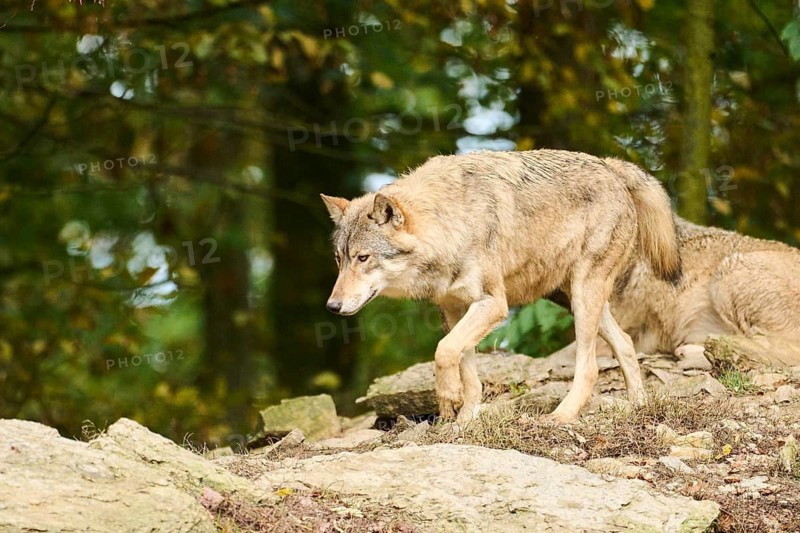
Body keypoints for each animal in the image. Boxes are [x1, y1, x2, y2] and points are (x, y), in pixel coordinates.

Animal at [321, 150, 681, 423]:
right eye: (339, 259)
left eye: (363, 258)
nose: (332, 307)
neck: (451, 223)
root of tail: (612, 166)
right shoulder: (453, 311)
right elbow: (466, 369)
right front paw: (464, 419)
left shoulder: (493, 304)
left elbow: (444, 351)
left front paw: (448, 397)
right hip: (574, 298)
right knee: (625, 342)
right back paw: (638, 406)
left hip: (583, 295)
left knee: (590, 366)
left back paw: (561, 416)